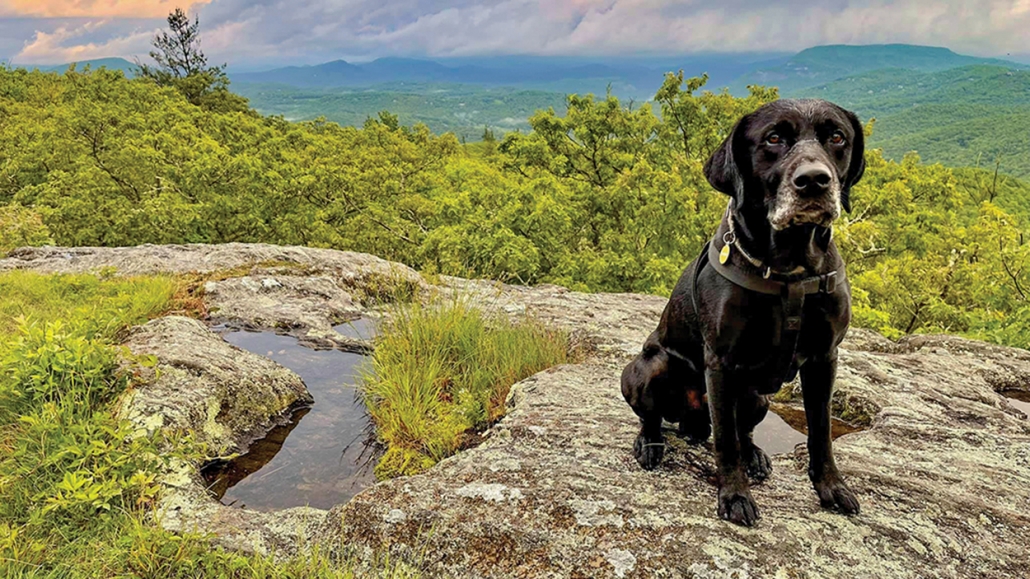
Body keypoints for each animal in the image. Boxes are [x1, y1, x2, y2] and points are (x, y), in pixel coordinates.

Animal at [622, 97, 865, 523]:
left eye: (837, 137)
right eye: (773, 138)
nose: (814, 181)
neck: (790, 268)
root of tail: (692, 419)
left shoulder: (824, 358)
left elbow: (821, 433)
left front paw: (832, 488)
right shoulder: (721, 362)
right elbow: (725, 441)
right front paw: (735, 496)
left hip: (757, 398)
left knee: (745, 430)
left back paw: (755, 455)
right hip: (648, 368)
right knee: (656, 417)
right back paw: (650, 445)